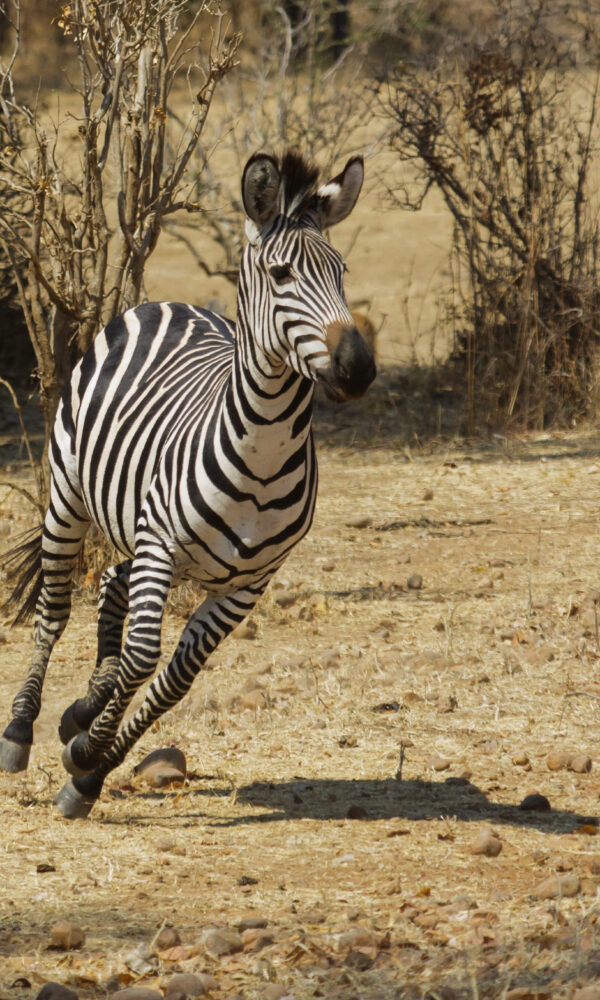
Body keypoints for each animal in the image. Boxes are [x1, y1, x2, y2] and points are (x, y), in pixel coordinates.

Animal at [0, 149, 375, 819]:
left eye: (342, 272)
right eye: (281, 274)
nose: (359, 369)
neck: (263, 455)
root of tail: (168, 304)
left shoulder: (249, 584)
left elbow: (172, 680)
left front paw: (89, 766)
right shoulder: (162, 543)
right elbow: (142, 658)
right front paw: (86, 752)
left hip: (151, 535)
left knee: (110, 582)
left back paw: (82, 710)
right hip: (72, 496)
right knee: (55, 608)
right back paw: (22, 727)